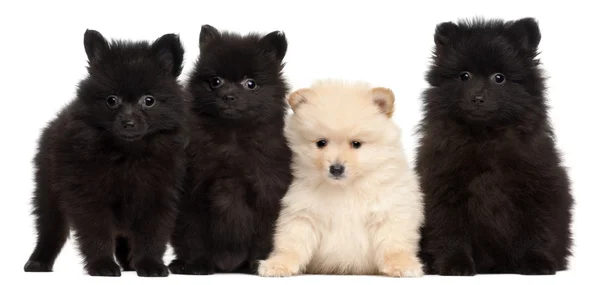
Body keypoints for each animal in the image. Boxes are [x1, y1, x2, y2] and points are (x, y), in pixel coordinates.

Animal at [22, 29, 188, 276]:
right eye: (112, 100)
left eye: (149, 101)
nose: (128, 122)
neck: (128, 154)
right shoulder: (88, 195)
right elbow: (96, 232)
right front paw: (102, 265)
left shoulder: (159, 194)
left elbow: (152, 234)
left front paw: (149, 264)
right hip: (48, 192)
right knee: (50, 231)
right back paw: (38, 262)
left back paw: (129, 264)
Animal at [169, 25, 292, 274]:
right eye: (216, 81)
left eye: (250, 84)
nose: (229, 96)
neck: (232, 138)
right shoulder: (193, 194)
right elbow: (193, 235)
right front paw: (197, 265)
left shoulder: (267, 196)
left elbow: (264, 236)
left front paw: (258, 264)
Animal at [256, 79, 422, 276]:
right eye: (321, 143)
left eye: (356, 144)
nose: (336, 168)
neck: (345, 188)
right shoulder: (303, 213)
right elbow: (291, 243)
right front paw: (279, 263)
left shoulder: (389, 211)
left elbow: (394, 244)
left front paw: (402, 265)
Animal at [414, 17, 576, 272]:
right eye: (464, 76)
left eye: (499, 78)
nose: (478, 98)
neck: (485, 137)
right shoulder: (443, 188)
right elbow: (449, 231)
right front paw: (455, 264)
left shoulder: (539, 187)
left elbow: (537, 229)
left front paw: (536, 261)